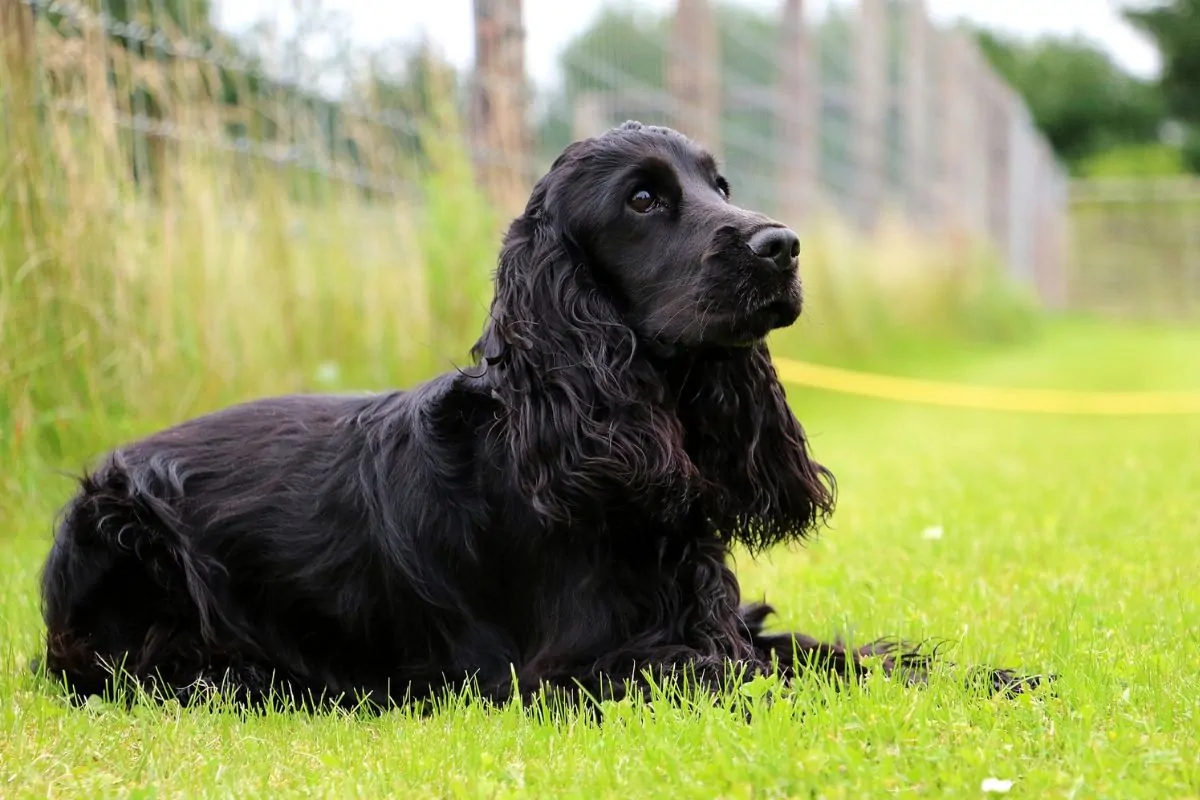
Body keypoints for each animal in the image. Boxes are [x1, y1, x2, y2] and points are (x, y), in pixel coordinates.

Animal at [32, 122, 1036, 710]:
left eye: (718, 184)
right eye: (643, 198)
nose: (782, 245)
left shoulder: (710, 621)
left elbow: (835, 655)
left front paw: (996, 673)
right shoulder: (567, 672)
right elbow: (759, 676)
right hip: (122, 533)